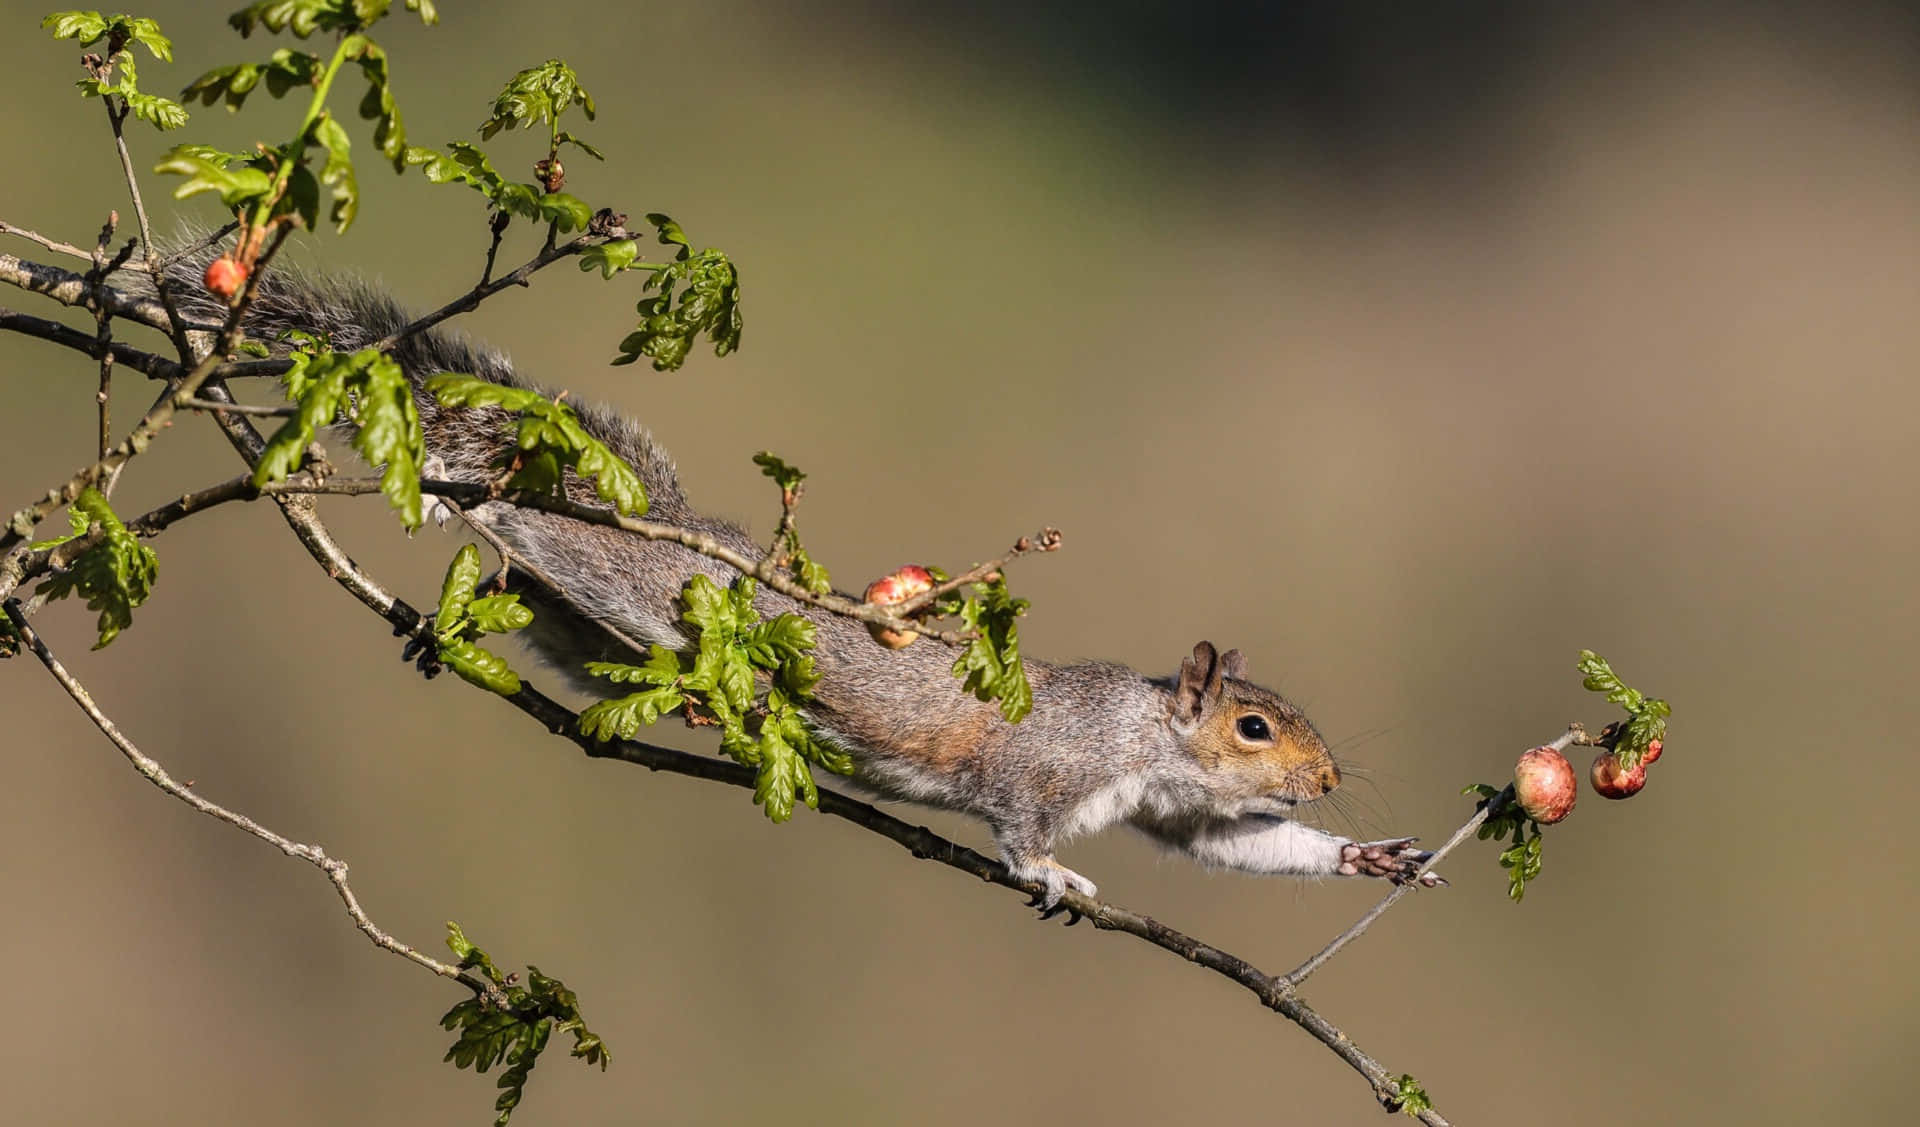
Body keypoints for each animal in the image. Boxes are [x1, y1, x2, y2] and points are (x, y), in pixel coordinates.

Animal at [159, 244, 1442, 910]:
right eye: (1254, 724)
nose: (1330, 780)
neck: (1140, 734)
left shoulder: (1178, 810)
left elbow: (1236, 846)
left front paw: (1370, 853)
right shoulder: (1047, 769)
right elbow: (1021, 826)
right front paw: (1055, 877)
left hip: (594, 637)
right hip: (621, 588)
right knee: (532, 540)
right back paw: (474, 538)